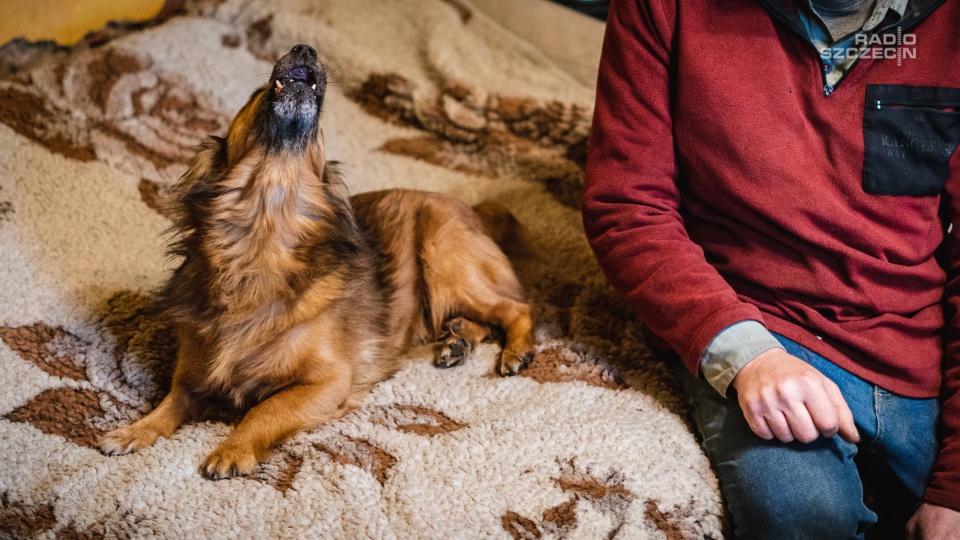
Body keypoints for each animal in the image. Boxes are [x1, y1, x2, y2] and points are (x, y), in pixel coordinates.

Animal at [101, 44, 536, 478]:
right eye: (257, 93)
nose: (305, 48)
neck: (264, 228)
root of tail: (472, 208)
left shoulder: (327, 383)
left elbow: (264, 410)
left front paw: (232, 449)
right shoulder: (192, 378)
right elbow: (168, 405)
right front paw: (133, 431)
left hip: (445, 264)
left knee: (515, 309)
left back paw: (514, 352)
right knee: (485, 319)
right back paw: (458, 340)